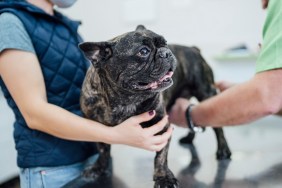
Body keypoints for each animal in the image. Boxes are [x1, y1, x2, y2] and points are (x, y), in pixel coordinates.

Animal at [77, 25, 231, 188]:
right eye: (143, 51)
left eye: (165, 43)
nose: (166, 52)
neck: (125, 100)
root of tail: (193, 49)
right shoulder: (98, 127)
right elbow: (102, 150)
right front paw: (99, 167)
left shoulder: (162, 126)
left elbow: (160, 157)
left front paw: (163, 177)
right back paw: (189, 139)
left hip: (206, 91)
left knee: (218, 127)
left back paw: (223, 150)